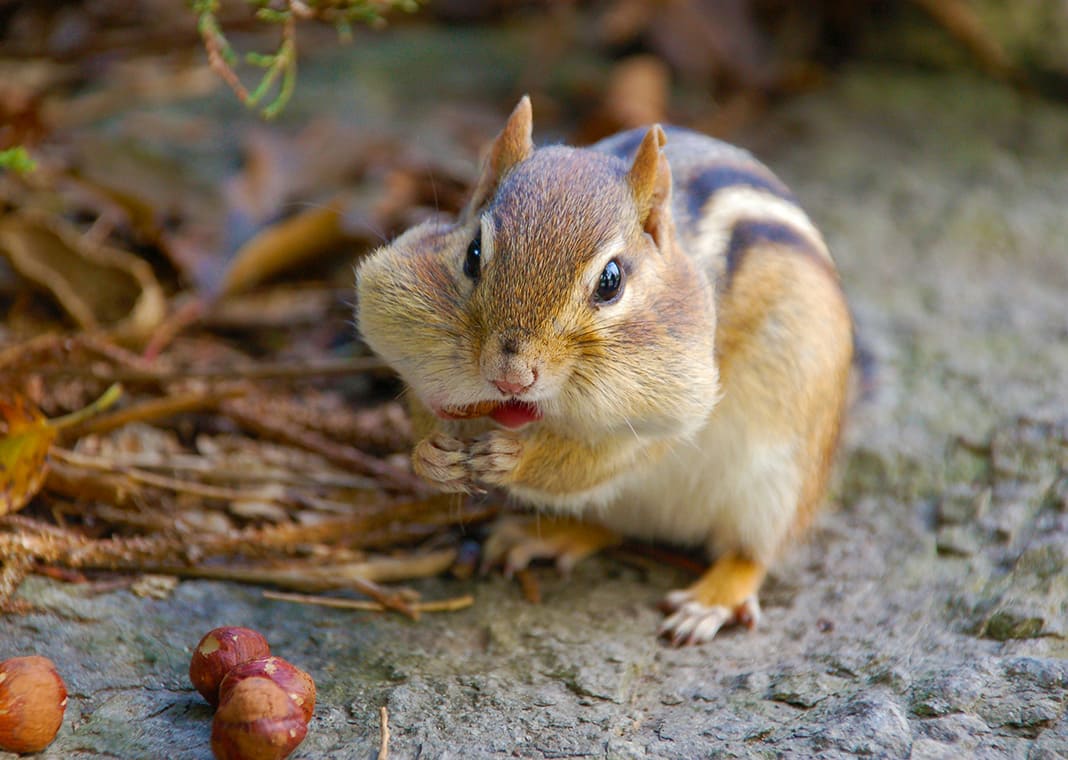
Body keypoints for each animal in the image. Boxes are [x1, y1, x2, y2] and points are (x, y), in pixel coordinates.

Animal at [356, 97, 853, 645]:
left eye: (611, 281)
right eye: (473, 254)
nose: (511, 376)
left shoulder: (670, 409)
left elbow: (594, 460)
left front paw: (513, 458)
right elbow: (424, 406)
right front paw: (430, 457)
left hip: (779, 482)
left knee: (752, 553)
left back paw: (711, 600)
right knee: (608, 526)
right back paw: (541, 535)